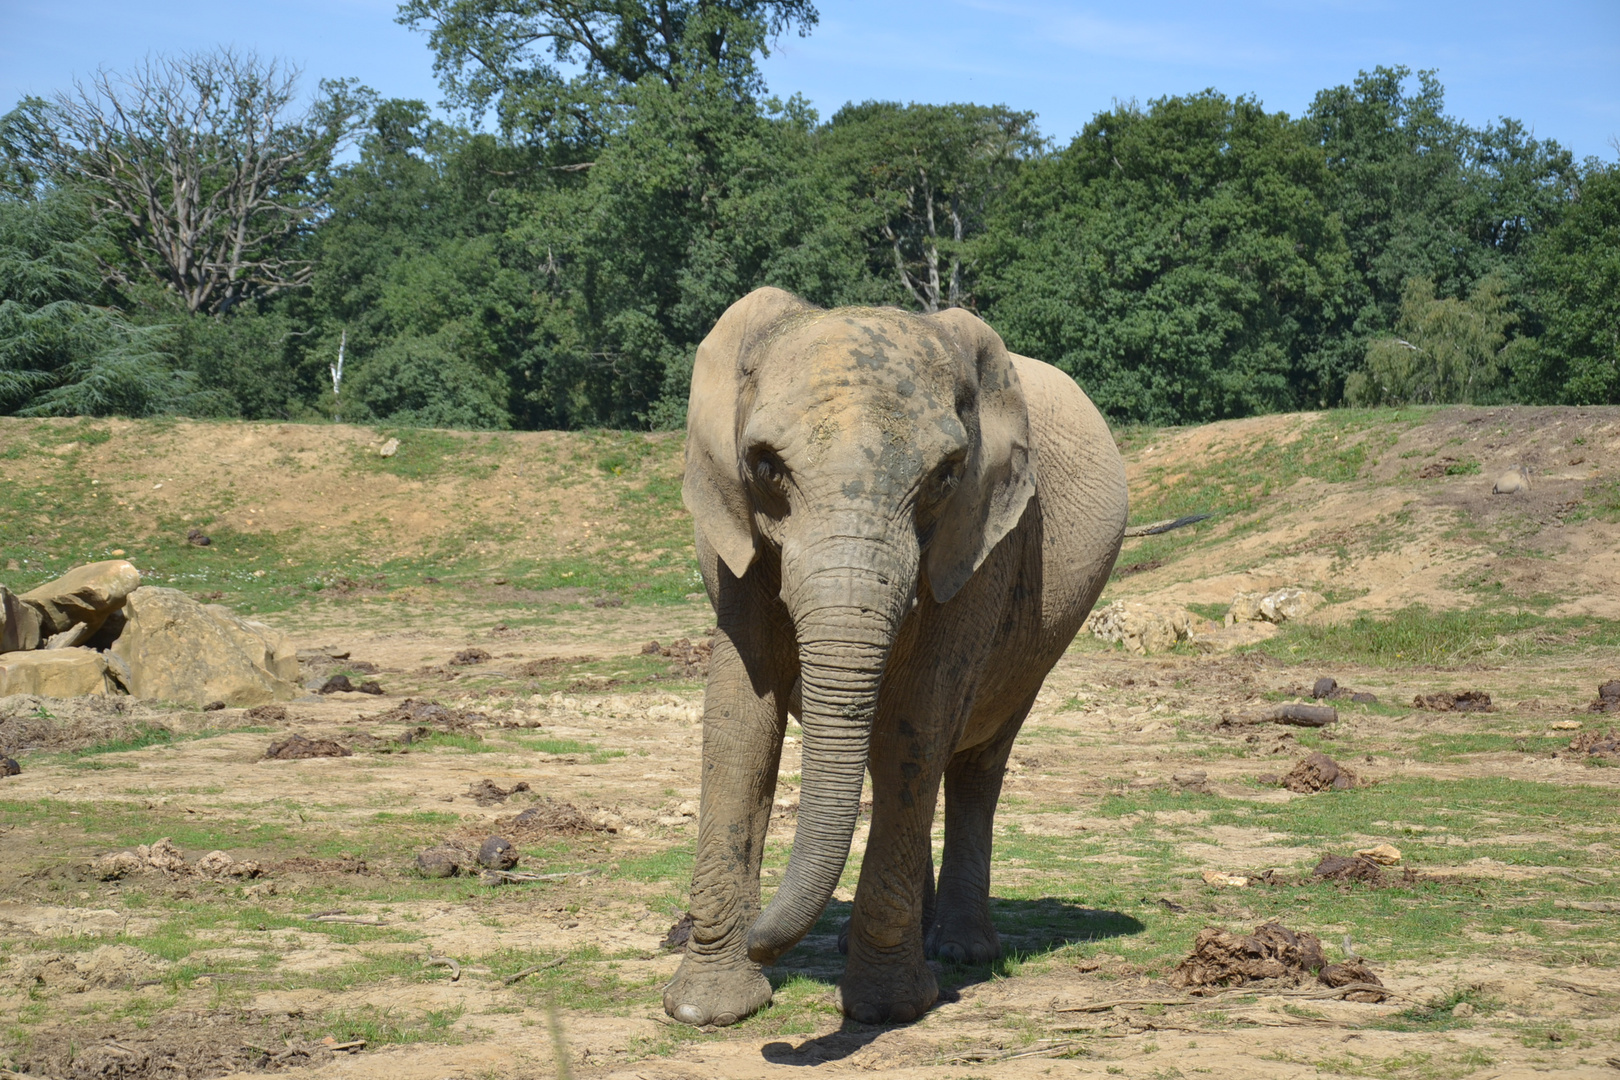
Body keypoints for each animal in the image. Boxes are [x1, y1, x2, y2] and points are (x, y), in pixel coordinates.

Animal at [657, 283, 1127, 1029]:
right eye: (764, 466)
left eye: (945, 475)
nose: (765, 942)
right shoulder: (731, 529)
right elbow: (740, 717)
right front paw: (707, 1009)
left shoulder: (983, 537)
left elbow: (919, 719)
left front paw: (887, 1009)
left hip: (1041, 636)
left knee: (973, 760)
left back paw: (960, 949)